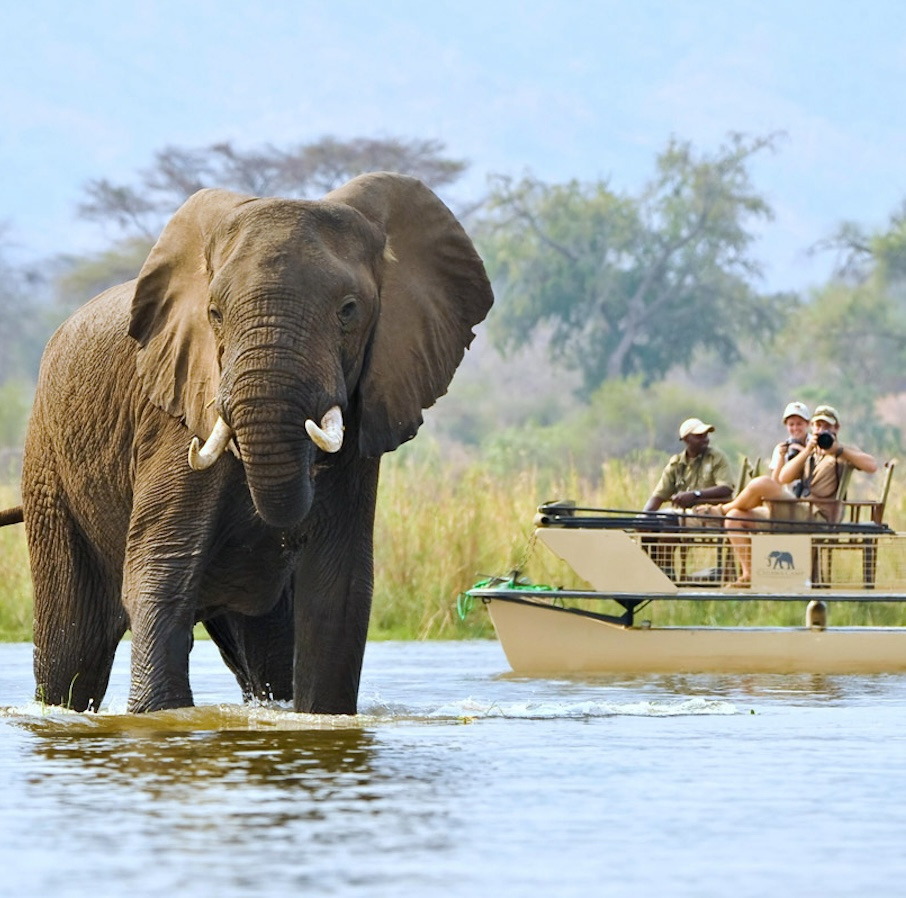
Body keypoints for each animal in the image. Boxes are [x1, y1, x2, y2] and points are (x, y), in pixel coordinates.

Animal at [22, 172, 493, 715]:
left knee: (265, 649)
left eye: (349, 311)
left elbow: (338, 587)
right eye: (214, 312)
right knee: (70, 650)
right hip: (48, 471)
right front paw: (159, 716)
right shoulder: (173, 423)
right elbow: (160, 568)